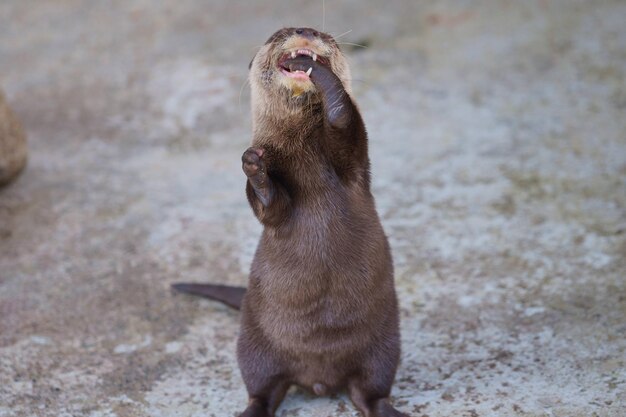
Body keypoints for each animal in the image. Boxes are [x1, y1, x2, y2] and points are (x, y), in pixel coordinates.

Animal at [172, 27, 404, 414]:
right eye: (279, 34)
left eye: (325, 35)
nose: (306, 32)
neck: (301, 152)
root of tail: (319, 378)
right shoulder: (274, 204)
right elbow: (270, 207)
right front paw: (255, 168)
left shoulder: (355, 165)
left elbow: (347, 127)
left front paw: (324, 80)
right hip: (253, 344)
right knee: (262, 390)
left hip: (384, 346)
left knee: (370, 391)